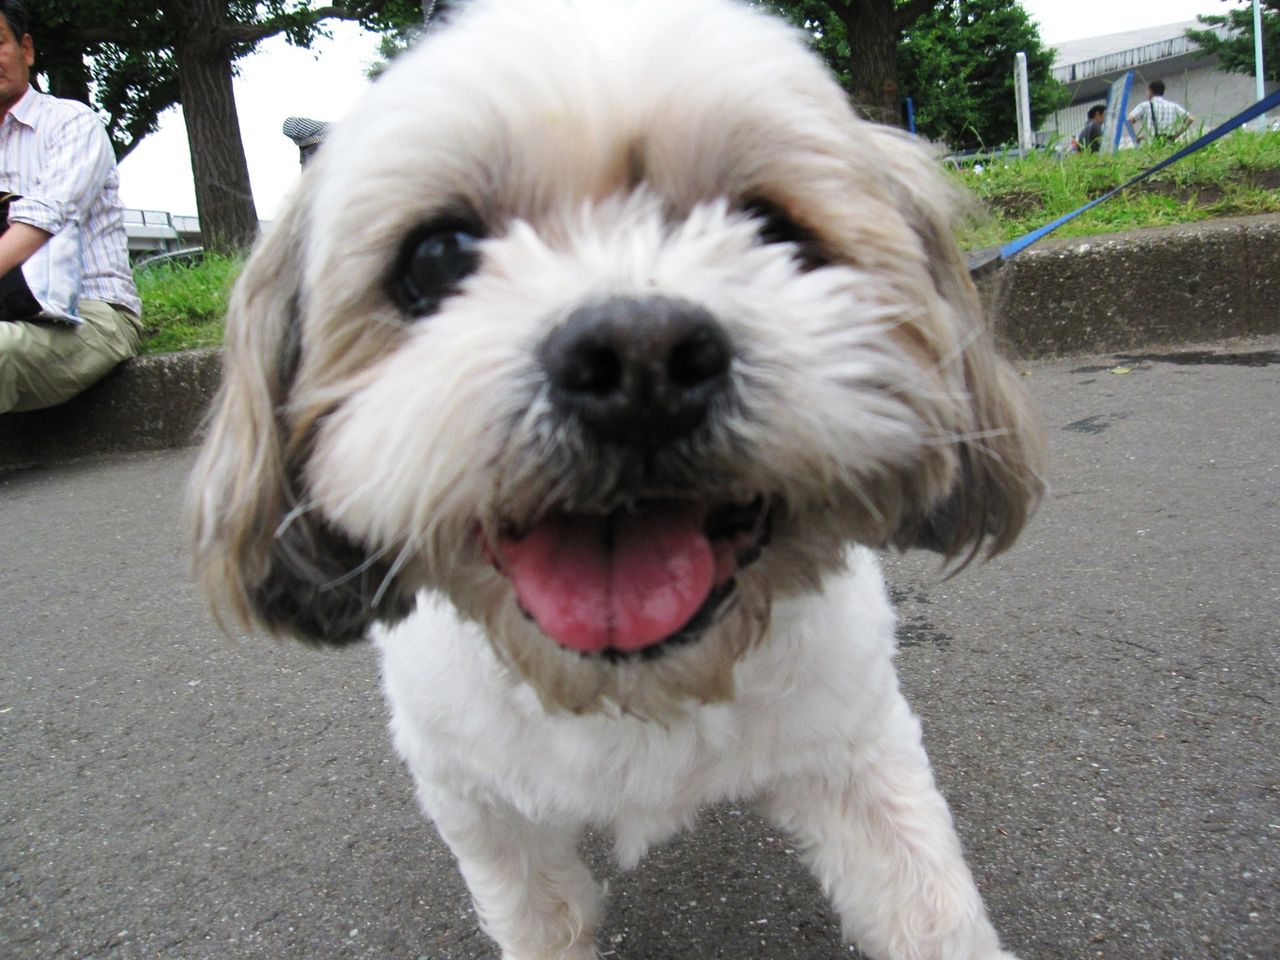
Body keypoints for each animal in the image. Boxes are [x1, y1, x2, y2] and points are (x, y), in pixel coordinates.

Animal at [189, 1, 1045, 957]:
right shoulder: (481, 808)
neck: (635, 691)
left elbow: (928, 908)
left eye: (773, 229)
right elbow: (541, 915)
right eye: (437, 256)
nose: (640, 355)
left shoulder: (856, 752)